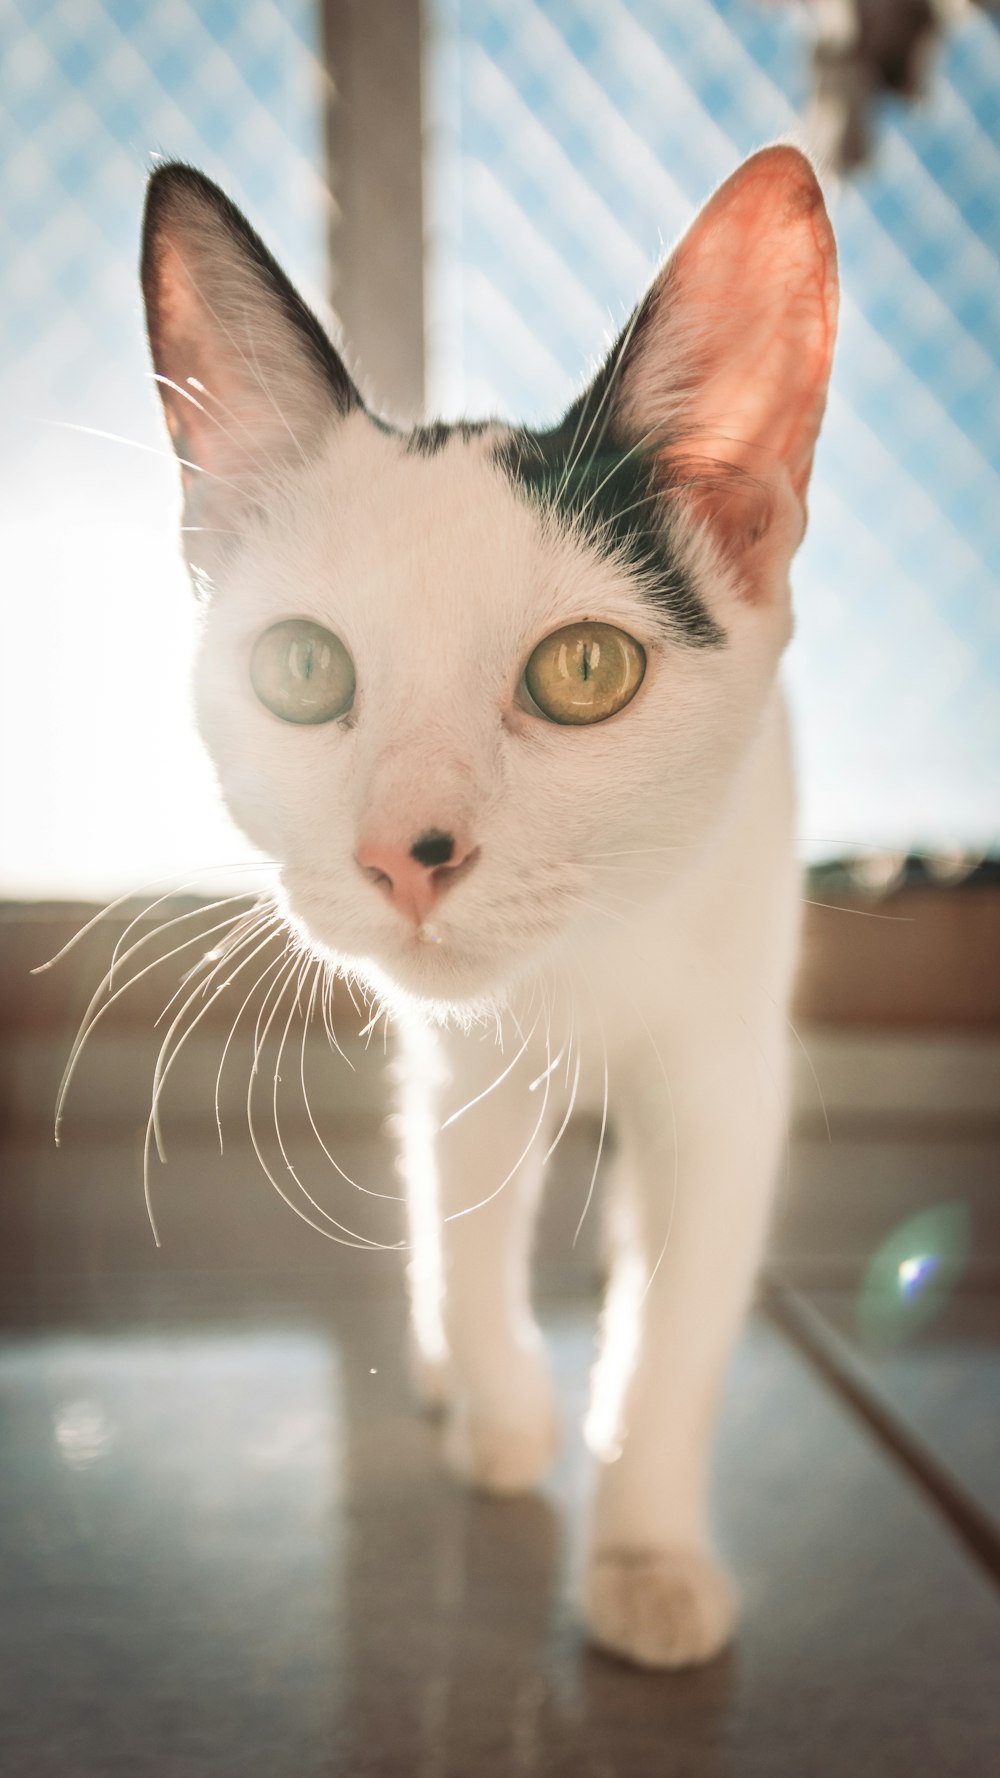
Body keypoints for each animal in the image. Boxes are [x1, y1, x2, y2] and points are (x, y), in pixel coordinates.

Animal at [142, 149, 832, 1664]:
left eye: (585, 669)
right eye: (299, 668)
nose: (410, 851)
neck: (581, 968)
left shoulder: (725, 1072)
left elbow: (680, 1312)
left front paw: (645, 1550)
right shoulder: (457, 1056)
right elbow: (463, 1219)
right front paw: (503, 1410)